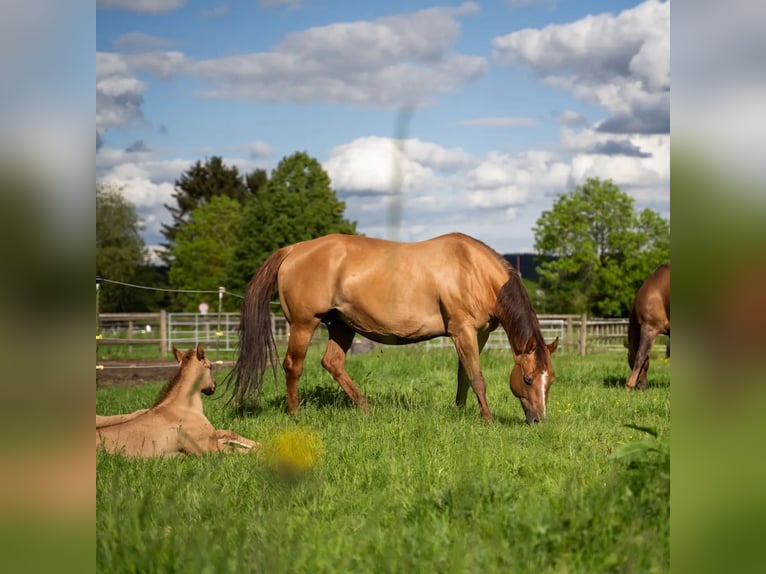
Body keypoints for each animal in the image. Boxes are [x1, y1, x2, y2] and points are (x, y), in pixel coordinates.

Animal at [95, 346, 258, 460]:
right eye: (210, 366)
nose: (214, 386)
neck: (184, 408)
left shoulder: (212, 437)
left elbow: (230, 434)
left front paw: (259, 443)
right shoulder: (210, 449)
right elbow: (240, 450)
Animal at [228, 232, 560, 426]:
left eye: (551, 379)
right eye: (527, 379)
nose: (538, 421)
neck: (472, 270)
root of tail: (293, 250)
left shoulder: (477, 335)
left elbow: (464, 377)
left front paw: (460, 412)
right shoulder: (463, 331)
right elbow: (477, 378)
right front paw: (487, 420)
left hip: (341, 325)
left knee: (332, 363)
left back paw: (365, 408)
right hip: (303, 324)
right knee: (293, 366)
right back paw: (295, 414)